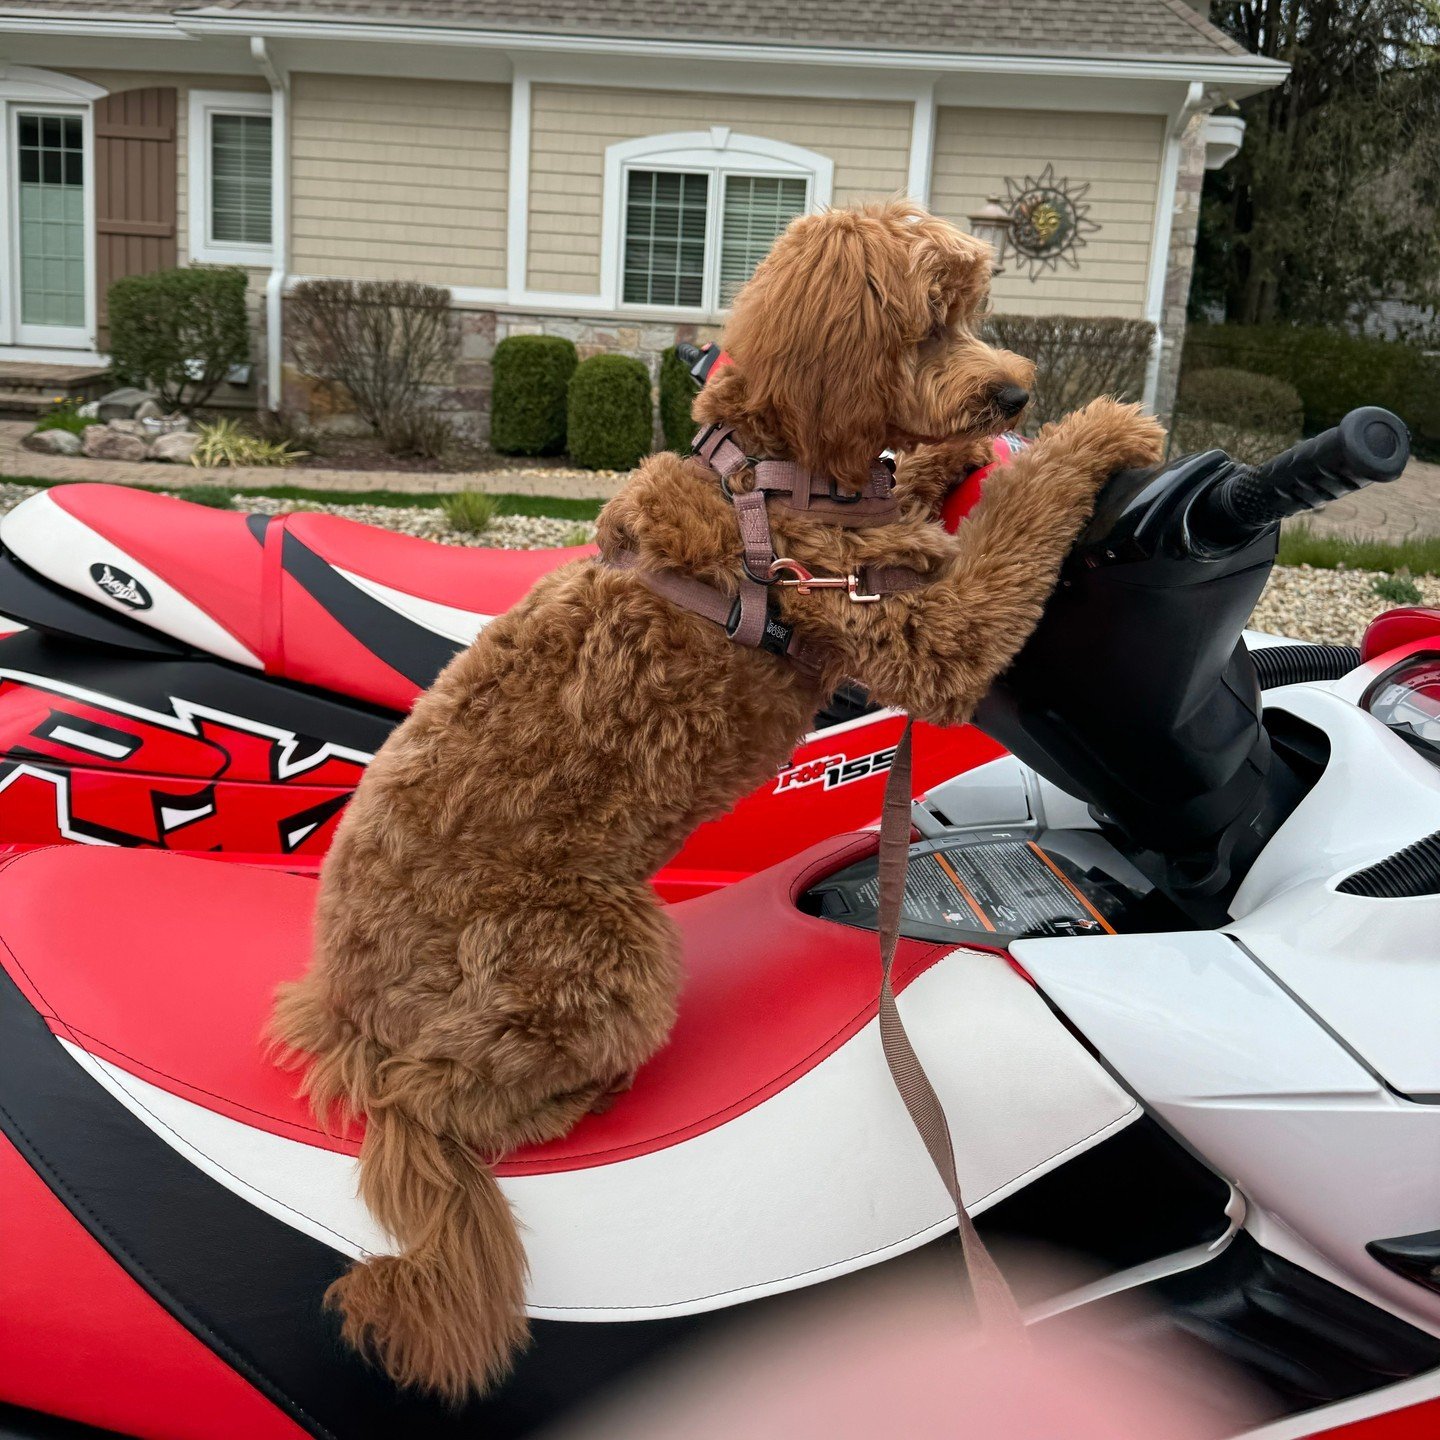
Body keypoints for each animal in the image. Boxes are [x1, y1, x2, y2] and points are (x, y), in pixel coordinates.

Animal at [272, 194, 1169, 1393]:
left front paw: (964, 455)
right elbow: (1014, 528)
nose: (1017, 392)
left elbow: (932, 494)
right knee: (442, 1099)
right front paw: (1101, 435)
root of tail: (346, 1017)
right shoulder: (923, 631)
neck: (776, 474)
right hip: (602, 952)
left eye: (974, 311)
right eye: (931, 319)